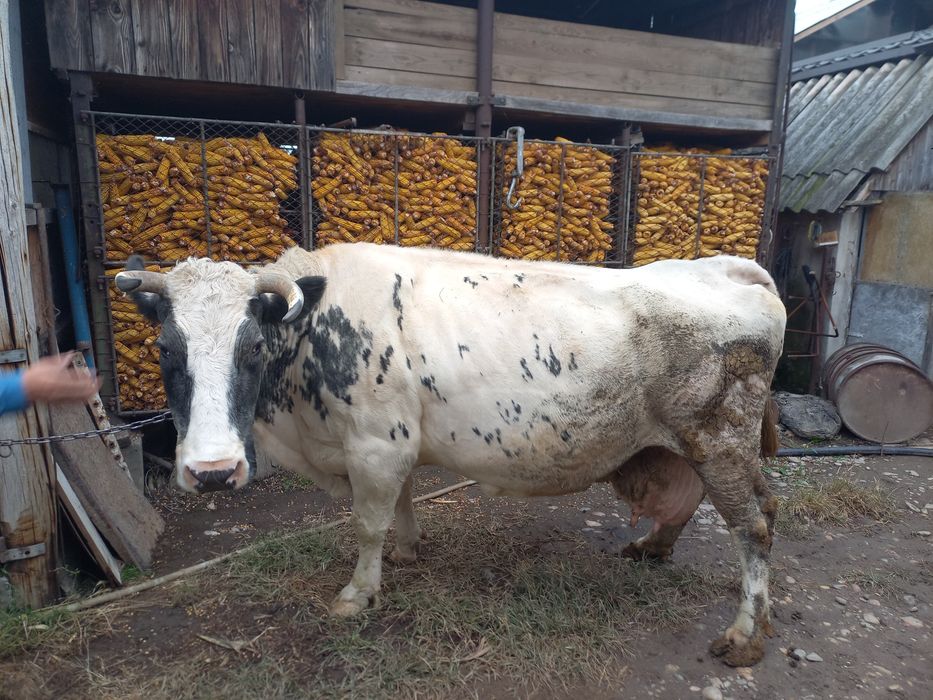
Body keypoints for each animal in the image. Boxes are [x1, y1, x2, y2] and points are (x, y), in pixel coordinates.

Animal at [115, 243, 785, 666]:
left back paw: (744, 635)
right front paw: (408, 550)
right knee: (709, 503)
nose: (212, 471)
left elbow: (367, 524)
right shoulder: (393, 443)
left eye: (252, 346)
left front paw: (358, 593)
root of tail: (727, 267)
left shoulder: (375, 444)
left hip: (721, 439)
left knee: (752, 525)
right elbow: (403, 503)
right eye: (166, 349)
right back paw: (655, 548)